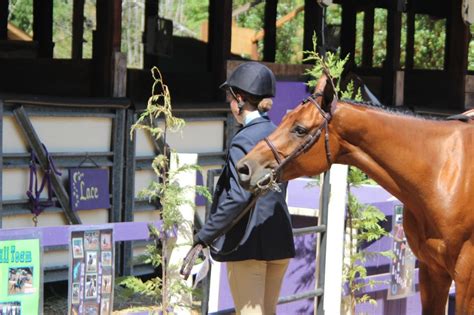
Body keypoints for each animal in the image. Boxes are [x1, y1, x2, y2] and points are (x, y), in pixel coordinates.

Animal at [237, 73, 474, 314]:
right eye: (285, 117)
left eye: (300, 129)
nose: (244, 167)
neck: (444, 170)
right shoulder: (432, 271)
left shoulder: (466, 281)